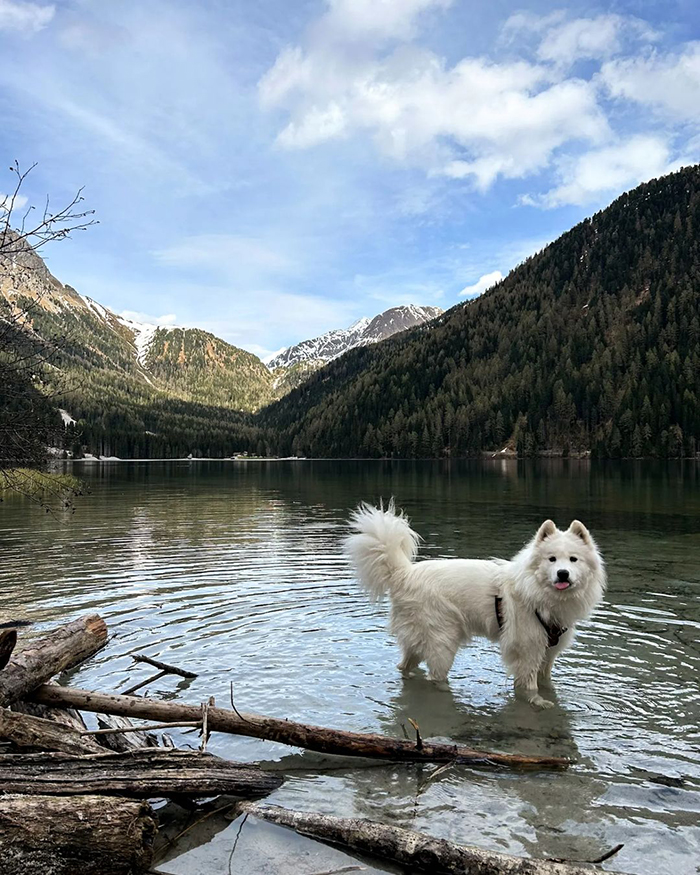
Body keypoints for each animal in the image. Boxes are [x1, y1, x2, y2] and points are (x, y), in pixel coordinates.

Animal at [346, 504, 608, 708]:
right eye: (551, 559)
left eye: (573, 559)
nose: (563, 574)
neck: (538, 594)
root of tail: (404, 573)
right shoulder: (527, 651)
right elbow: (529, 686)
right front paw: (538, 702)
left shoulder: (548, 652)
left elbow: (546, 681)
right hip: (442, 641)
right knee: (435, 677)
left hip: (420, 641)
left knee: (404, 665)